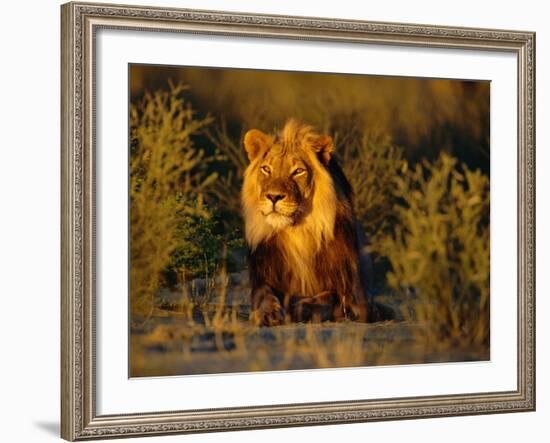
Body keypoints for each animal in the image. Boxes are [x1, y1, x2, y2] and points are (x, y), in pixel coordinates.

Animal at [243, 119, 378, 328]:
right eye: (266, 169)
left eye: (298, 171)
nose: (273, 196)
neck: (298, 232)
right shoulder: (263, 278)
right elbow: (265, 296)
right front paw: (267, 313)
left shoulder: (354, 297)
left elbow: (330, 297)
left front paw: (302, 307)